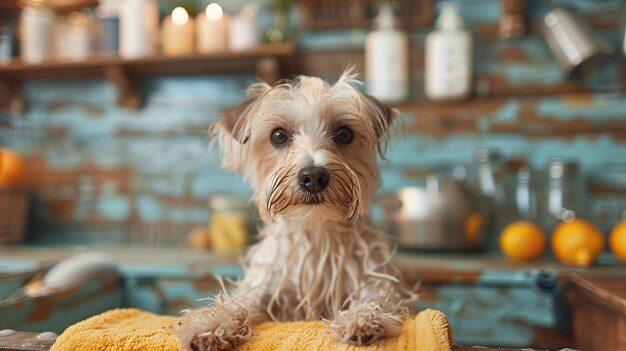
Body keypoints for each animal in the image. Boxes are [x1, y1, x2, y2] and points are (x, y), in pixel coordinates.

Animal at [174, 69, 414, 351]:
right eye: (278, 136)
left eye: (344, 134)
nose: (313, 176)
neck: (315, 229)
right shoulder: (263, 291)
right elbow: (235, 303)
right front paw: (209, 326)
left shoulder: (376, 283)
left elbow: (377, 300)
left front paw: (362, 320)